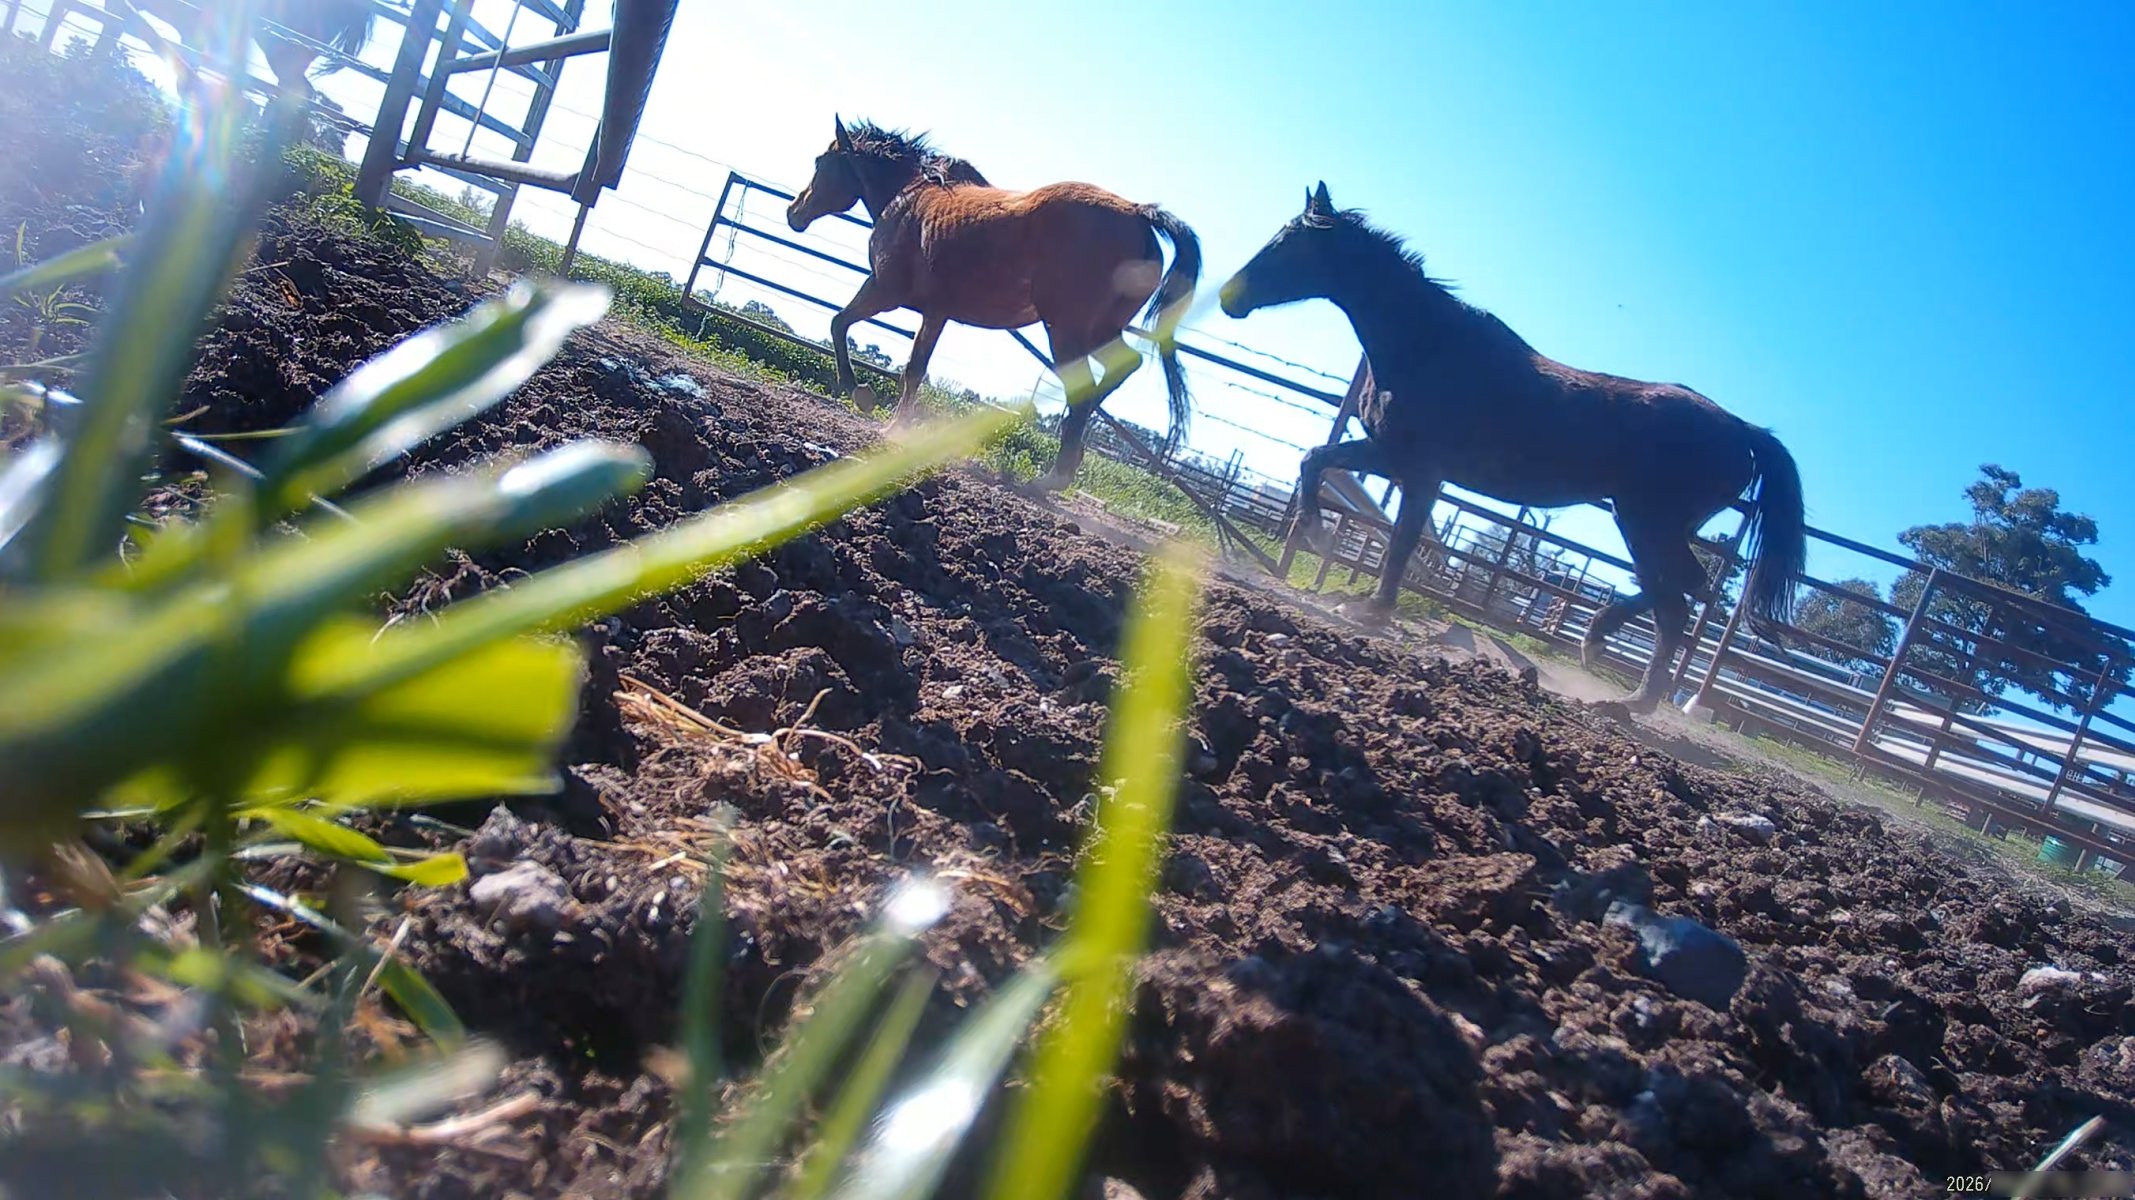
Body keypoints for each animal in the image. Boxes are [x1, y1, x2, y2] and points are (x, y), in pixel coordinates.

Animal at [785, 117, 1202, 490]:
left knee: (1083, 388)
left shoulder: (883, 291)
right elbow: (915, 368)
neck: (909, 195)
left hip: (1065, 331)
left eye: (821, 162)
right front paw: (897, 427)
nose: (794, 212)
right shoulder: (936, 313)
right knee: (1120, 368)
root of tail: (1137, 212)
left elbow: (839, 322)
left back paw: (1053, 477)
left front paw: (859, 393)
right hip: (1100, 331)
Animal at [1219, 183, 1807, 711]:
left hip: (1647, 521)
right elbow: (1315, 460)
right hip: (1642, 521)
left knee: (1679, 600)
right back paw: (1610, 661)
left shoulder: (1422, 471)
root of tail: (1744, 429)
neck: (1427, 345)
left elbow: (1402, 540)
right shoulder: (1389, 454)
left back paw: (1620, 682)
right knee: (1677, 597)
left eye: (1289, 243)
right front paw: (1316, 533)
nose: (1229, 298)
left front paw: (1370, 607)